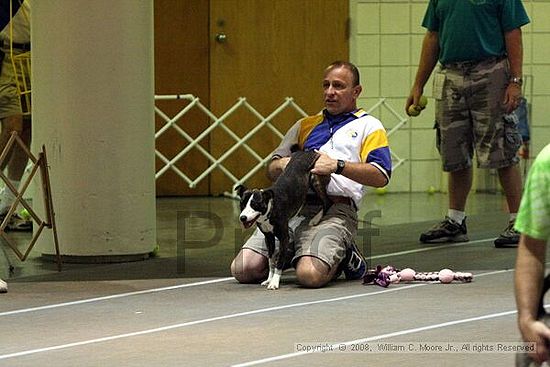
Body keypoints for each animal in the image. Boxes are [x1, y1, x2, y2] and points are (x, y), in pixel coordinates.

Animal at [237, 150, 332, 290]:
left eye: (255, 205)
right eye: (242, 204)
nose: (242, 217)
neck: (270, 209)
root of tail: (307, 151)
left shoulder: (283, 238)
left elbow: (279, 261)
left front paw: (274, 282)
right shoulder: (269, 238)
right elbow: (271, 260)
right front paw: (269, 279)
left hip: (316, 178)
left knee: (327, 202)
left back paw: (316, 219)